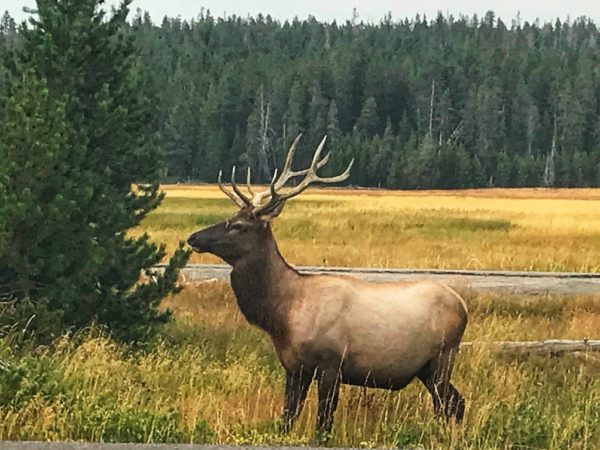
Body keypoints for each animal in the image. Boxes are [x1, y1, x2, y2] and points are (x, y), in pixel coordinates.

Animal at [188, 135, 468, 434]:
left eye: (239, 225)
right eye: (229, 217)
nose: (193, 237)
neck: (283, 316)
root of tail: (463, 305)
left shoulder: (331, 364)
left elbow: (323, 424)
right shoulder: (294, 368)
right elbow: (287, 417)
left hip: (443, 357)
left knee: (447, 404)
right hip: (426, 369)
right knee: (456, 402)